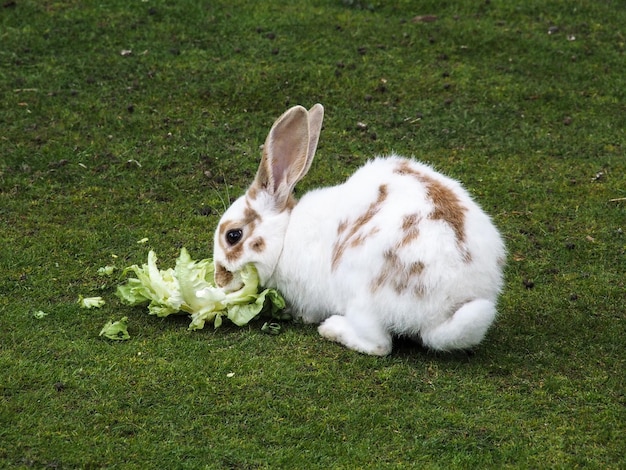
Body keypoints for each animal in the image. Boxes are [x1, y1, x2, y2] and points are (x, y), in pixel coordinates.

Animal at [212, 103, 504, 356]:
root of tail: (451, 303)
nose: (219, 280)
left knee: (379, 344)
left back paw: (332, 329)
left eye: (233, 235)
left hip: (359, 293)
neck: (285, 236)